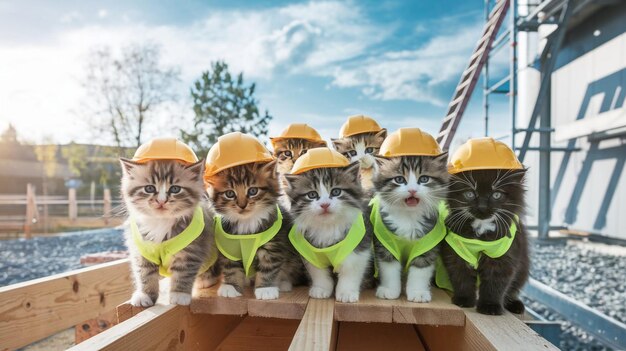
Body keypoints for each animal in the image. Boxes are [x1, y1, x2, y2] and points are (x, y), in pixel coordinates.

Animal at [118, 160, 218, 308]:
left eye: (175, 189)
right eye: (149, 188)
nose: (161, 201)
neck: (161, 221)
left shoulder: (191, 251)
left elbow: (183, 274)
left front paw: (179, 295)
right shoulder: (142, 250)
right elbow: (145, 274)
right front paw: (145, 294)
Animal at [286, 162, 372, 302]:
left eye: (336, 191)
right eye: (312, 195)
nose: (325, 204)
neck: (328, 226)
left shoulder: (358, 247)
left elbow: (350, 271)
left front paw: (346, 293)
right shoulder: (311, 253)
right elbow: (318, 273)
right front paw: (321, 289)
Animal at [370, 155, 448, 304]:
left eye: (424, 179)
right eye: (399, 179)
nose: (412, 190)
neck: (408, 217)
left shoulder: (427, 245)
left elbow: (420, 271)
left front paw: (418, 293)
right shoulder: (385, 245)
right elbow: (389, 269)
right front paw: (390, 290)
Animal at [438, 169, 528, 314]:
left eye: (496, 195)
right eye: (469, 194)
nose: (482, 207)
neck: (481, 227)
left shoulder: (503, 257)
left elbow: (495, 283)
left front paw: (490, 306)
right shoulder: (456, 253)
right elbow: (461, 277)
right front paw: (464, 300)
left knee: (512, 290)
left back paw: (515, 305)